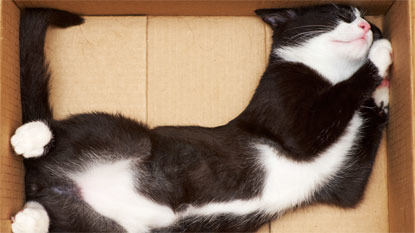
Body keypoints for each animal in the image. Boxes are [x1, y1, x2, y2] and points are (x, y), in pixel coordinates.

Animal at [10, 4, 394, 233]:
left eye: (364, 18)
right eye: (340, 12)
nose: (368, 25)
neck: (329, 73)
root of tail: (49, 181)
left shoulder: (341, 187)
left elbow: (357, 164)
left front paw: (381, 97)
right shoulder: (286, 115)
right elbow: (337, 100)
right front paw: (380, 55)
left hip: (105, 227)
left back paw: (30, 218)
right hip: (131, 136)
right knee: (80, 132)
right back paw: (32, 137)